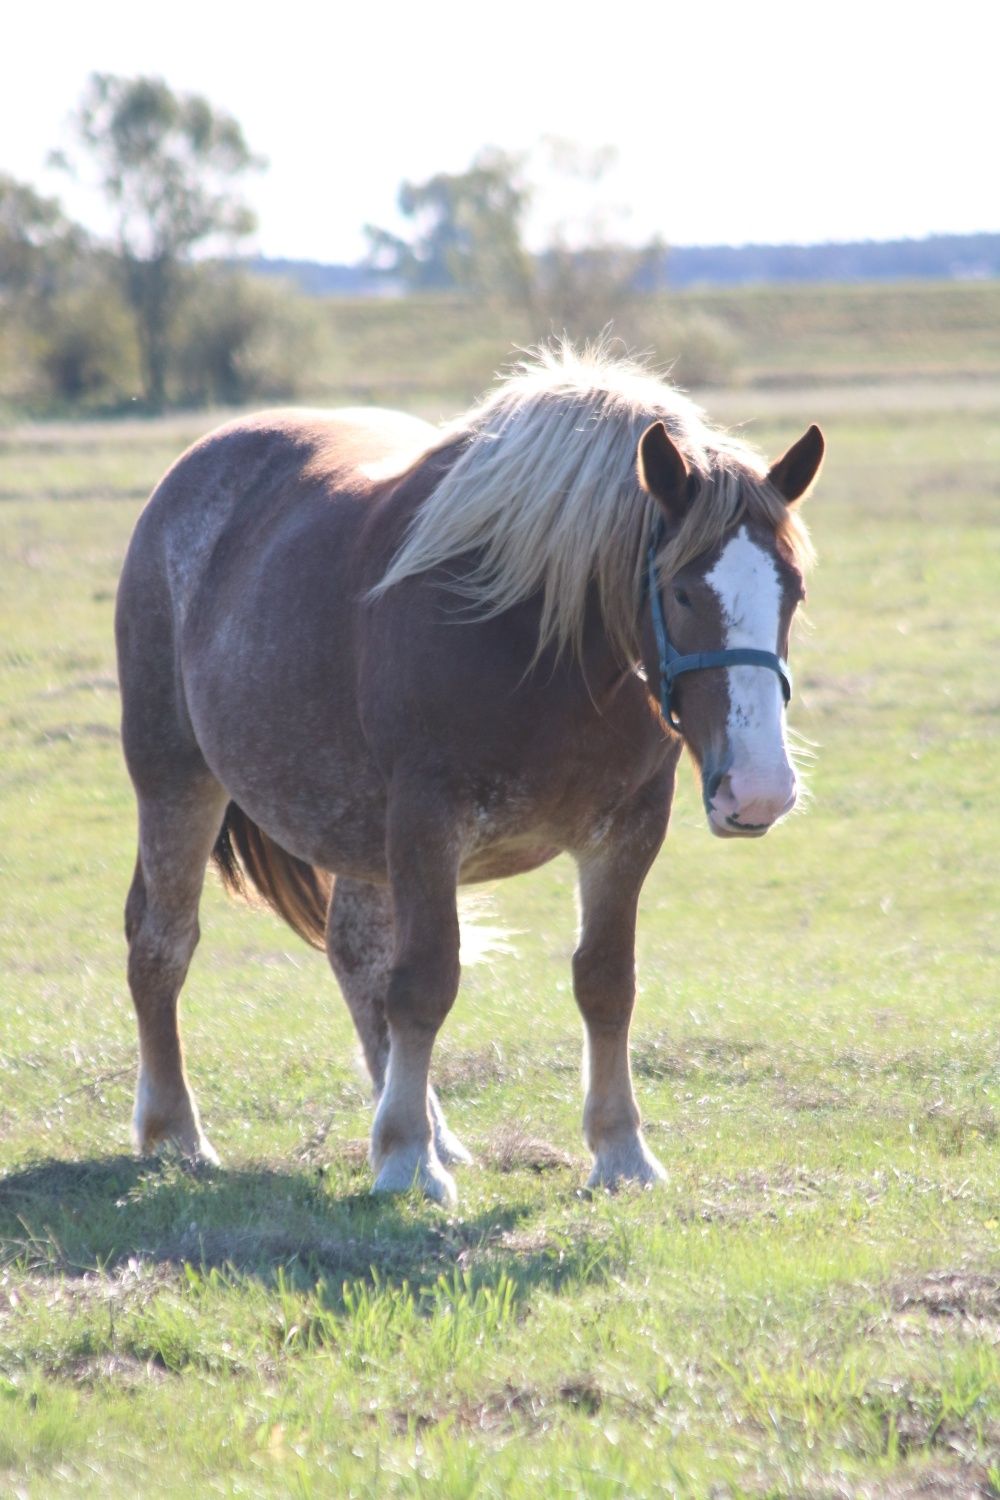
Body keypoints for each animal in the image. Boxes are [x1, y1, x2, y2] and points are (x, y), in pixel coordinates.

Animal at [115, 345, 821, 1200]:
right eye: (683, 592)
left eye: (793, 591)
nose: (760, 790)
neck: (547, 645)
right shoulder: (426, 820)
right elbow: (425, 984)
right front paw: (407, 1164)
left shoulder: (627, 830)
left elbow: (605, 982)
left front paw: (620, 1151)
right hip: (176, 780)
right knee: (163, 941)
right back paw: (176, 1132)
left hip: (357, 832)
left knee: (357, 956)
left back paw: (429, 1127)